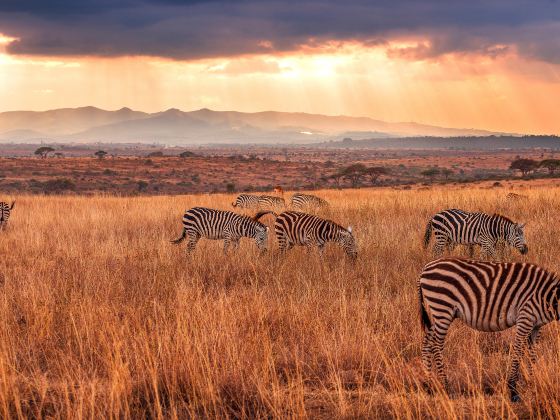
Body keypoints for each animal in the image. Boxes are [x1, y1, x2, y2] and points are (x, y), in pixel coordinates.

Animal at [420, 258, 560, 402]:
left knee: (427, 343)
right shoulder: (525, 317)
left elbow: (532, 353)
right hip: (442, 308)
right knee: (436, 345)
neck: (547, 297)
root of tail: (426, 267)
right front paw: (513, 390)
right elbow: (518, 352)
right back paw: (445, 387)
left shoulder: (535, 325)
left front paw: (533, 382)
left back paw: (428, 385)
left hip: (439, 315)